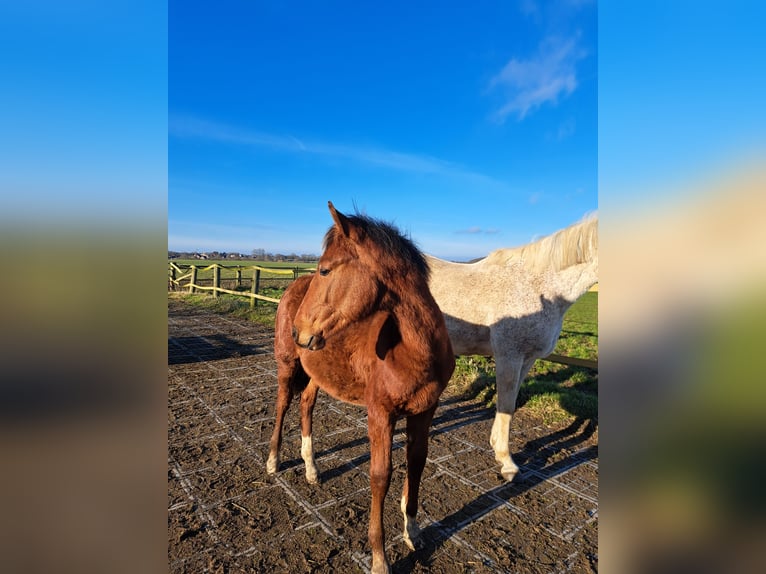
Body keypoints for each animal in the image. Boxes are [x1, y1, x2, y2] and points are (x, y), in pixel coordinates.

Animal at [268, 204, 456, 574]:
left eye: (325, 269)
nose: (299, 330)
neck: (412, 351)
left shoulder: (425, 411)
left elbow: (417, 462)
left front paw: (413, 530)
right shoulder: (380, 414)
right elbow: (380, 476)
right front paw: (380, 558)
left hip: (315, 372)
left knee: (306, 405)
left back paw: (311, 468)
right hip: (287, 364)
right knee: (283, 404)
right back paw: (273, 461)